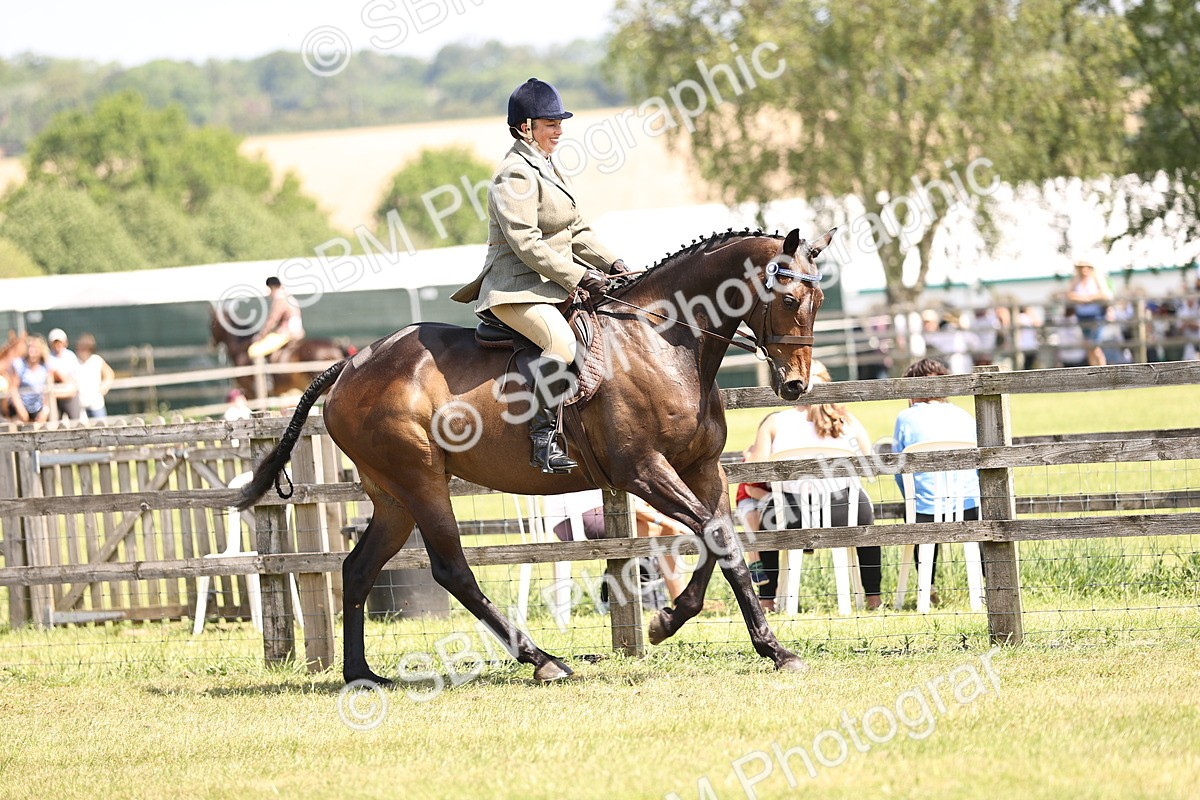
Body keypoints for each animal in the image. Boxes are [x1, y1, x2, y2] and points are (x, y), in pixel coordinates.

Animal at [238, 227, 834, 684]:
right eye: (788, 299)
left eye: (820, 301)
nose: (795, 386)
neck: (663, 343)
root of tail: (352, 363)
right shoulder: (643, 470)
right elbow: (718, 537)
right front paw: (766, 648)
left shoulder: (701, 469)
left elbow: (722, 537)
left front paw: (683, 624)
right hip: (420, 482)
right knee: (452, 570)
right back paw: (543, 661)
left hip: (392, 497)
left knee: (359, 570)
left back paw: (361, 674)